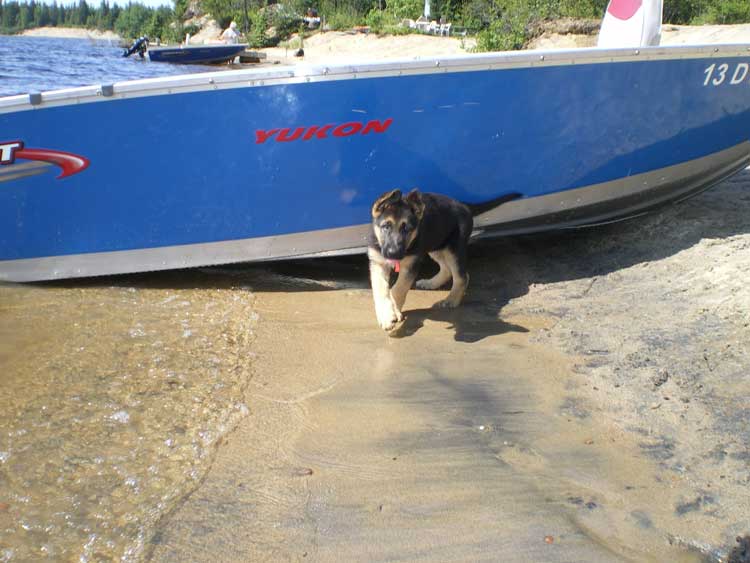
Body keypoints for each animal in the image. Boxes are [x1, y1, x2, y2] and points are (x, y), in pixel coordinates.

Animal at [368, 191, 470, 330]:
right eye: (386, 226)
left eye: (406, 229)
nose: (393, 254)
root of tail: (464, 207)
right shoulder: (378, 263)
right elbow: (380, 290)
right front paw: (386, 316)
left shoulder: (411, 265)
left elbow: (398, 288)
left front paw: (395, 310)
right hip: (436, 245)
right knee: (447, 269)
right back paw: (430, 283)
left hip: (452, 250)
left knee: (462, 276)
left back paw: (451, 300)